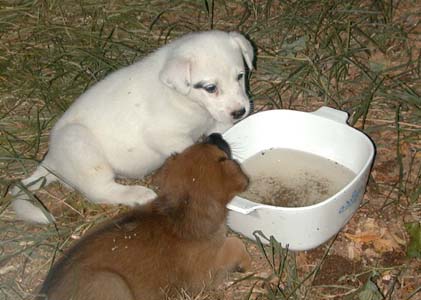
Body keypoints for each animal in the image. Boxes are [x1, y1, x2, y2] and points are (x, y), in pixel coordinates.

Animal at [11, 29, 253, 223]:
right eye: (210, 87)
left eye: (240, 76)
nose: (240, 112)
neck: (186, 100)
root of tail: (51, 161)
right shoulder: (165, 135)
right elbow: (192, 149)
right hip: (79, 144)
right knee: (100, 190)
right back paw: (137, 194)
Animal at [37, 134, 249, 300]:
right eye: (219, 151)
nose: (215, 134)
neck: (179, 211)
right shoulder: (207, 271)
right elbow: (236, 243)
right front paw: (244, 263)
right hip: (111, 282)